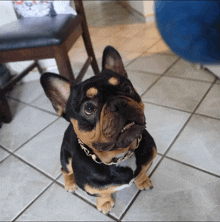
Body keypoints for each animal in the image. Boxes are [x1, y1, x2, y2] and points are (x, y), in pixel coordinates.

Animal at [40, 46, 156, 214]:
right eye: (89, 108)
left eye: (127, 88)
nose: (118, 103)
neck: (120, 156)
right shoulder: (91, 187)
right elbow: (103, 193)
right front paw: (105, 202)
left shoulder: (149, 157)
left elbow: (142, 172)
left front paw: (142, 180)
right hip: (65, 157)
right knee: (65, 170)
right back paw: (69, 183)